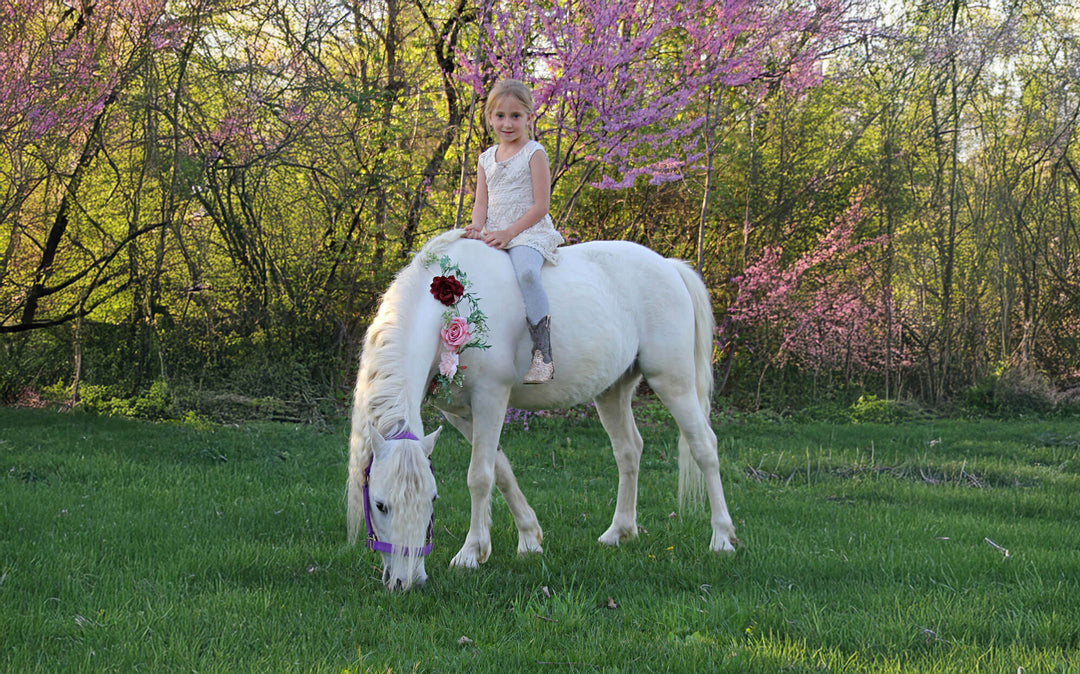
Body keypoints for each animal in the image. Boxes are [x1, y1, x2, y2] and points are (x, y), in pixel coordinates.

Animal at [347, 230, 737, 591]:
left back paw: (722, 538)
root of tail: (669, 267)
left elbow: (480, 476)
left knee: (704, 447)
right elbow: (502, 471)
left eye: (432, 498)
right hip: (612, 391)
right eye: (379, 504)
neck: (448, 304)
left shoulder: (490, 398)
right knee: (629, 451)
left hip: (673, 381)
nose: (406, 581)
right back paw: (619, 532)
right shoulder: (460, 414)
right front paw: (530, 539)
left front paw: (471, 553)